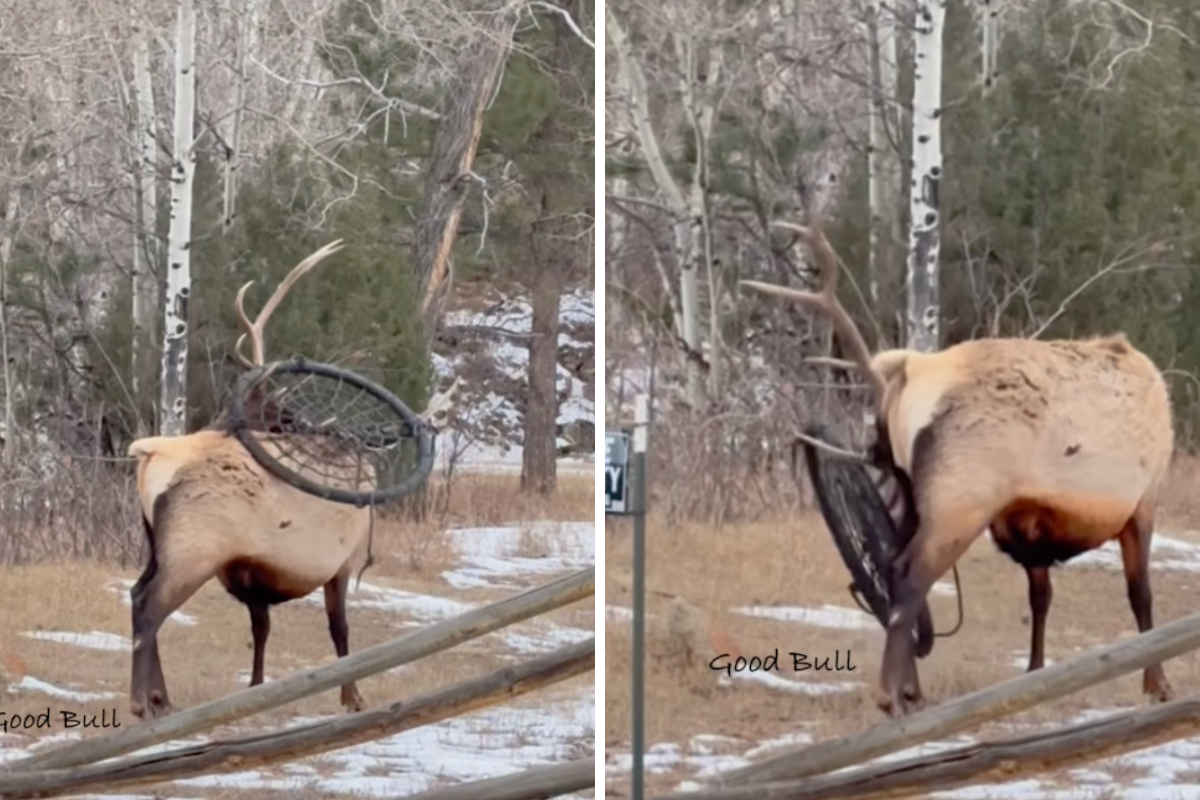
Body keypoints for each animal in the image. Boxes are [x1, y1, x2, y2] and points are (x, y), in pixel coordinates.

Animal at [124, 242, 456, 719]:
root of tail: (149, 453)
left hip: (157, 544)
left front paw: (257, 687)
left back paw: (159, 698)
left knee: (136, 594)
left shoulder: (254, 574)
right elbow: (340, 630)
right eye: (280, 414)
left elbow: (261, 630)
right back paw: (144, 701)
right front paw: (352, 696)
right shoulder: (343, 562)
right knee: (149, 608)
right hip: (194, 549)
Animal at [744, 221, 1176, 714]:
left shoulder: (1028, 522)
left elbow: (1041, 597)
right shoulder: (1144, 500)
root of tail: (908, 371)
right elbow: (1140, 594)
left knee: (891, 565)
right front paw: (1157, 684)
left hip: (911, 487)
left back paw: (909, 688)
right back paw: (891, 694)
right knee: (910, 574)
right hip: (963, 493)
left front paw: (1035, 671)